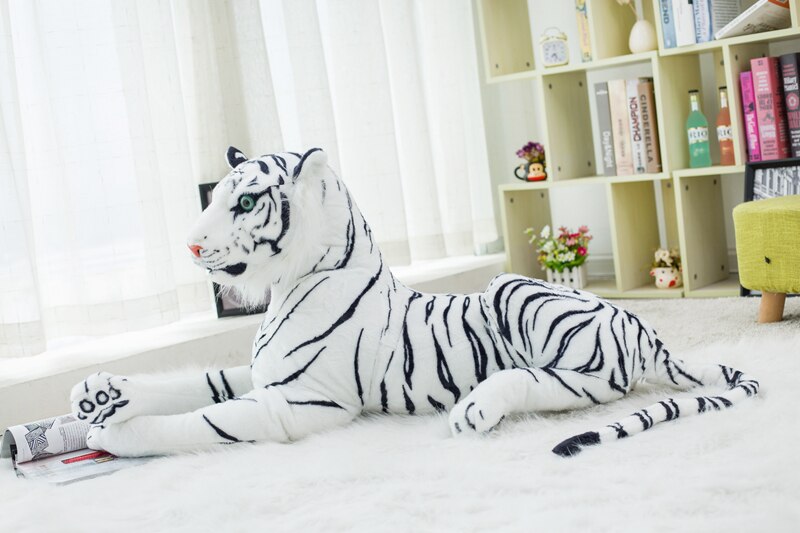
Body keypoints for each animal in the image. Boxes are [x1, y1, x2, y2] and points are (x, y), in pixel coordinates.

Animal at [70, 146, 759, 458]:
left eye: (243, 201)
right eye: (216, 197)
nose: (189, 246)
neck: (288, 286)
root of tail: (649, 330)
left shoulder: (299, 404)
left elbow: (200, 420)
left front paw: (115, 432)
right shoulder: (260, 374)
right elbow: (196, 379)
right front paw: (102, 392)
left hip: (524, 304)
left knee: (551, 382)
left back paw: (476, 409)